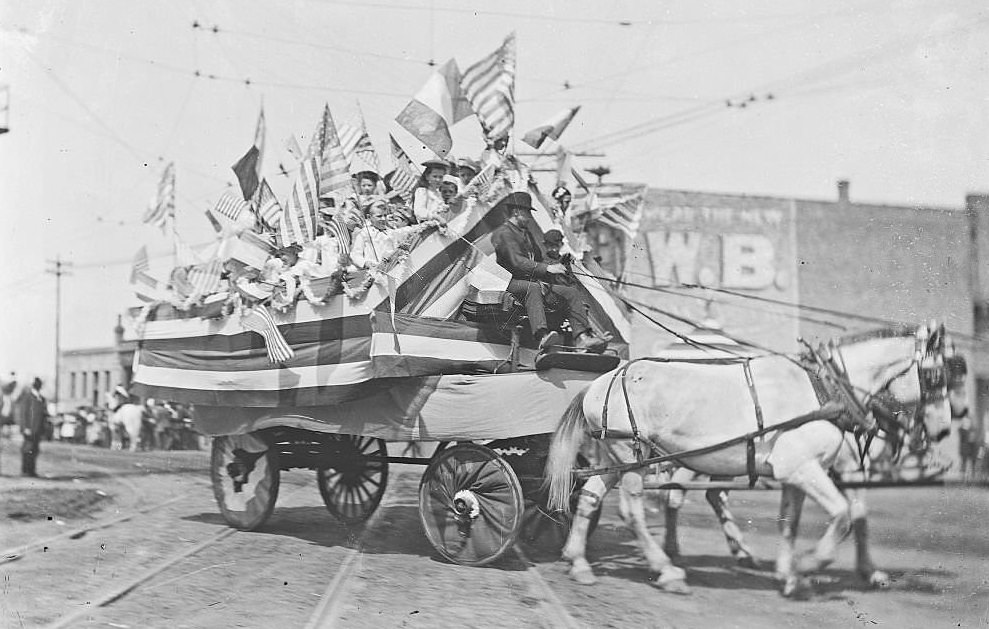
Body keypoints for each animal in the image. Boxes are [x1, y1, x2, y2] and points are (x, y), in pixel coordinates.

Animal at [544, 324, 952, 592]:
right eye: (936, 377)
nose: (945, 430)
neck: (824, 388)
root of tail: (602, 381)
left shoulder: (797, 472)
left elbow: (791, 522)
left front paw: (790, 573)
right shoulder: (806, 468)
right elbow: (843, 516)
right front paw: (810, 564)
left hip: (616, 456)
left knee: (592, 496)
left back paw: (578, 560)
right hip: (633, 453)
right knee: (634, 510)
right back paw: (667, 569)